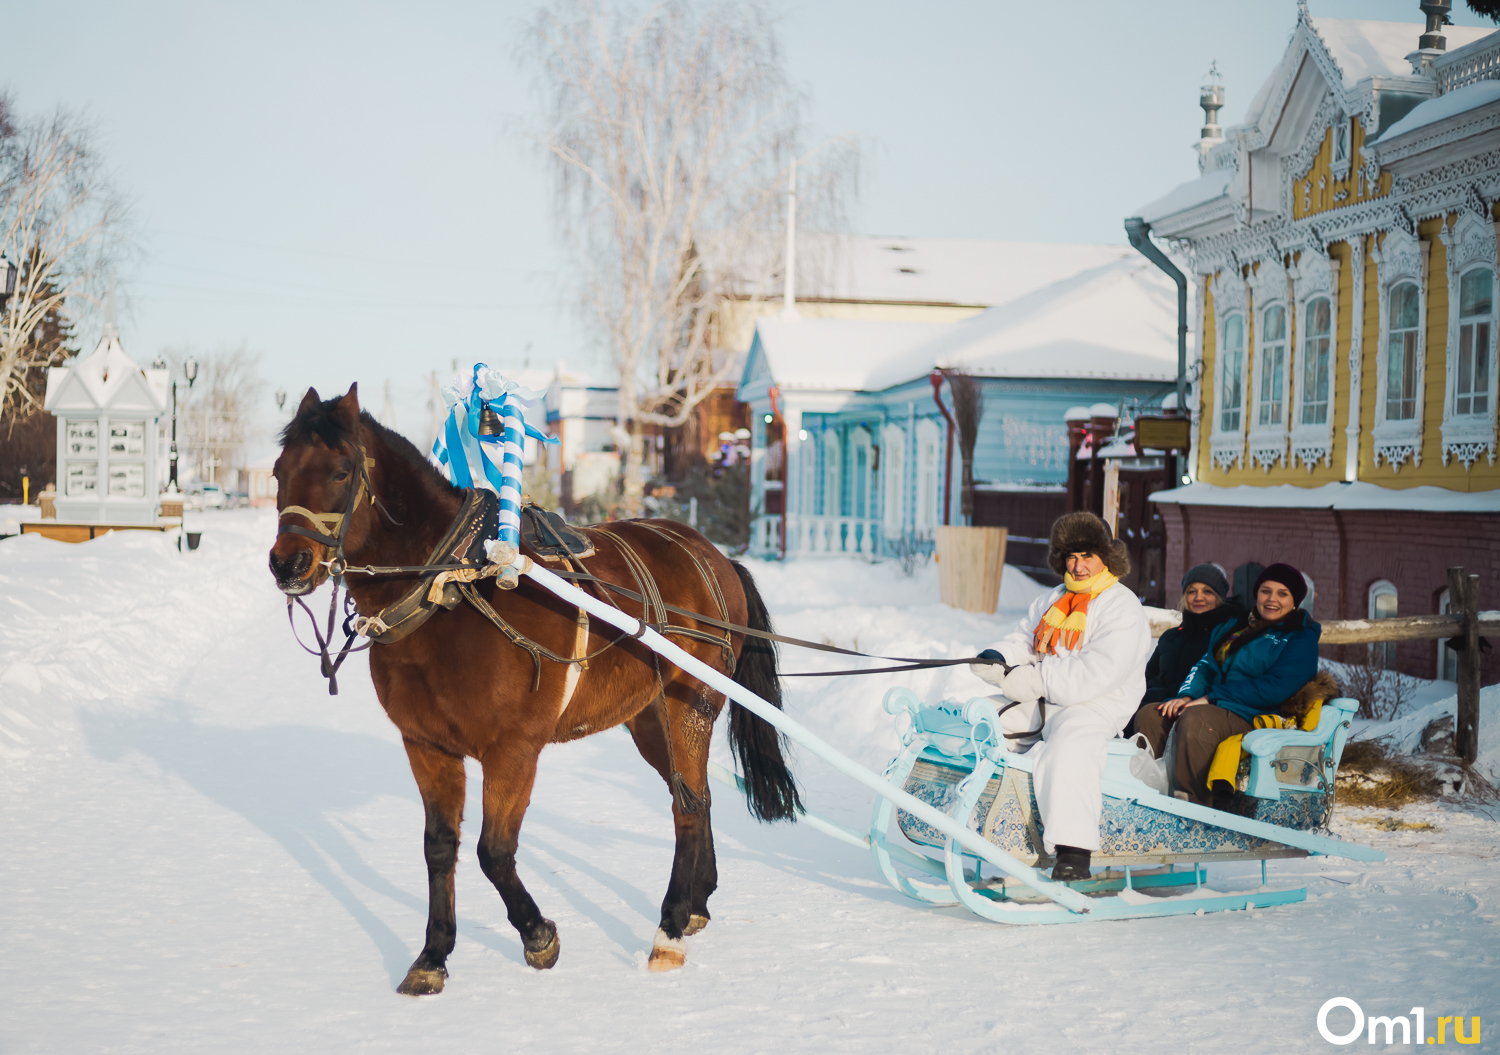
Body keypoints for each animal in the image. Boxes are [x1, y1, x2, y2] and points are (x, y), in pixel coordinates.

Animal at [273, 384, 810, 996]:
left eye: (341, 472)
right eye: (278, 472)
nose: (287, 564)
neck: (455, 590)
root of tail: (713, 555)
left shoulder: (513, 750)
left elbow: (493, 852)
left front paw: (537, 936)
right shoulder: (426, 746)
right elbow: (440, 847)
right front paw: (433, 955)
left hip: (689, 705)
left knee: (689, 806)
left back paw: (670, 929)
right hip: (649, 719)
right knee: (693, 795)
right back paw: (695, 904)